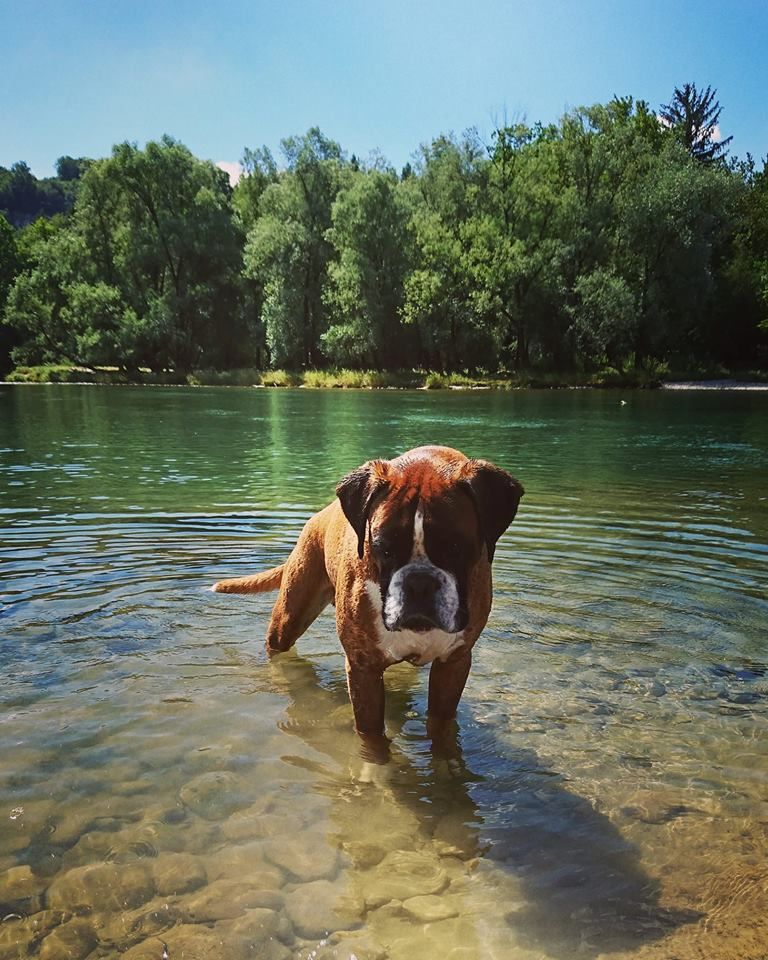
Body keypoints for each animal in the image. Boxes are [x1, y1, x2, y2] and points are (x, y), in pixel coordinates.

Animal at [213, 445, 523, 738]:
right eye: (383, 548)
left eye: (456, 547)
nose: (419, 582)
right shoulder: (363, 670)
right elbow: (372, 739)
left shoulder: (454, 665)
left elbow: (440, 730)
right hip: (288, 618)